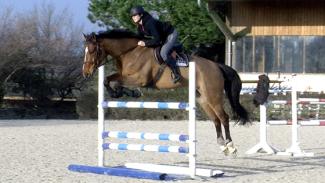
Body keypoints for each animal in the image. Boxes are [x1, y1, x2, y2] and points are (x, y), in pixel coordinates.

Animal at [81, 29, 248, 155]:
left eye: (92, 50)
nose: (86, 73)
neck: (130, 52)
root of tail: (217, 66)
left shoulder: (139, 79)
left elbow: (115, 82)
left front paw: (126, 92)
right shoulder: (123, 75)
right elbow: (107, 80)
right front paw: (118, 93)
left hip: (213, 96)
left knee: (224, 117)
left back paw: (231, 146)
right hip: (203, 98)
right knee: (215, 119)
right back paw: (222, 145)